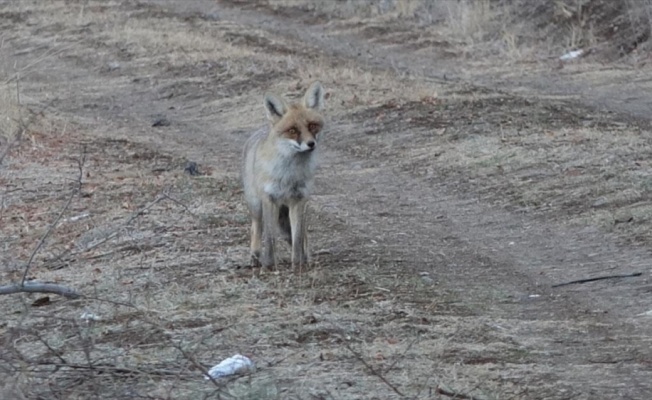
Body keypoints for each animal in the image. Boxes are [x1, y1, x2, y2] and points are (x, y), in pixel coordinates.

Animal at [242, 81, 326, 268]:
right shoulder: (269, 199)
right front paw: (269, 265)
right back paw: (255, 257)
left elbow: (297, 237)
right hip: (256, 204)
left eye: (312, 126)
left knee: (302, 234)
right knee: (256, 228)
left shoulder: (299, 200)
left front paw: (298, 264)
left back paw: (307, 257)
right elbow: (270, 238)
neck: (289, 174)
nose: (311, 144)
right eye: (292, 130)